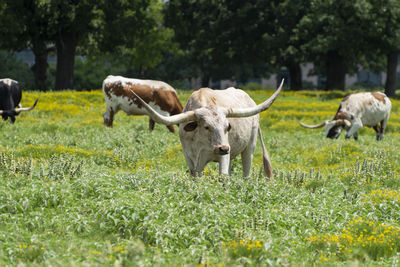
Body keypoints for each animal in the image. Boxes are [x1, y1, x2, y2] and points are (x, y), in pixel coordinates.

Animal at [131, 80, 284, 179]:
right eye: (206, 127)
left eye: (227, 127)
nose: (223, 148)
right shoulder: (190, 158)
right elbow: (196, 177)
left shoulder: (224, 154)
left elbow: (223, 176)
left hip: (249, 146)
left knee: (246, 173)